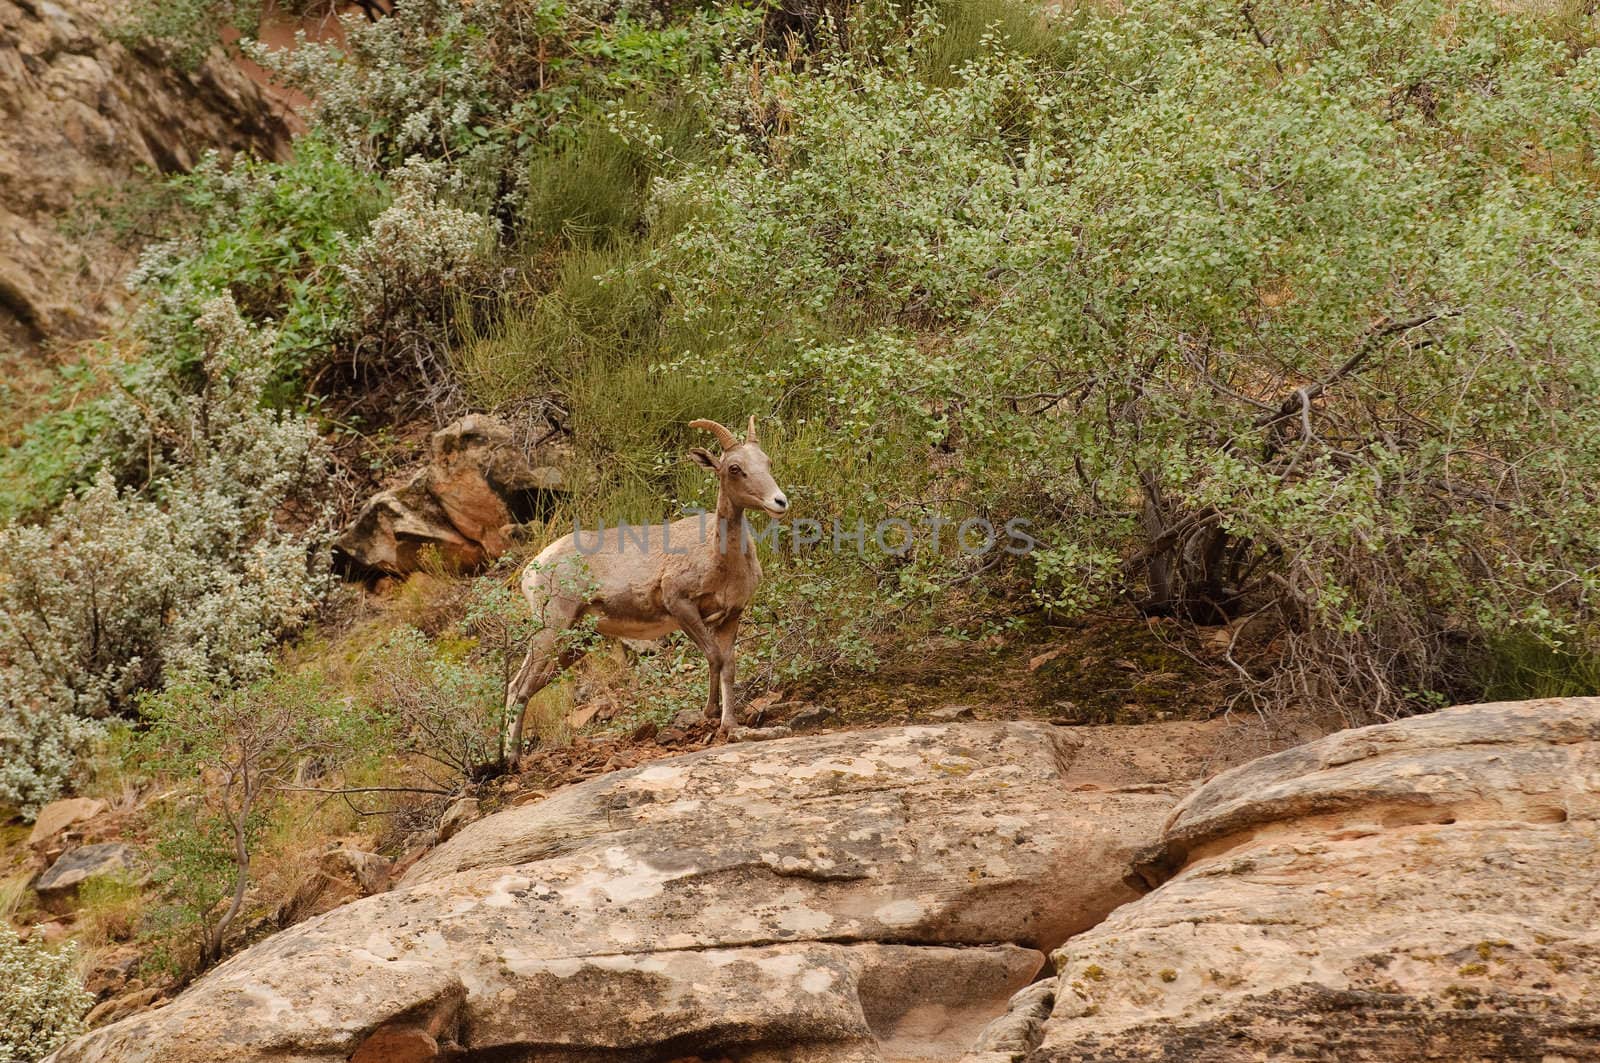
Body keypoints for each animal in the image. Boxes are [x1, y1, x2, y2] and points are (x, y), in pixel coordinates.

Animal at [499, 416, 787, 765]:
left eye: (766, 462)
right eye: (734, 468)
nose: (779, 502)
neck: (719, 557)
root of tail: (533, 568)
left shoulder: (731, 616)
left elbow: (728, 666)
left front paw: (730, 726)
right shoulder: (681, 607)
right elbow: (714, 657)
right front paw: (710, 712)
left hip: (575, 643)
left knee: (527, 687)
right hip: (550, 631)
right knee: (517, 687)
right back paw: (510, 761)